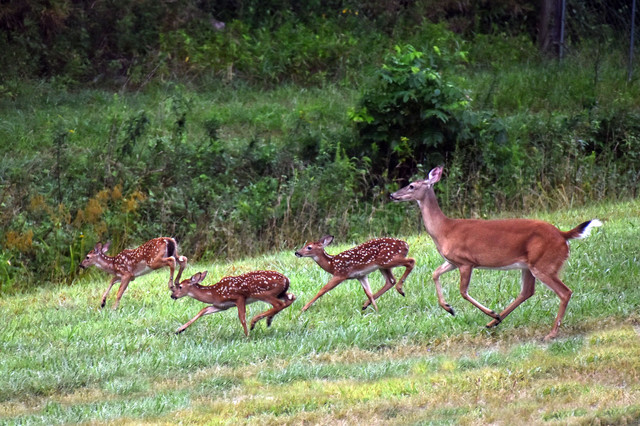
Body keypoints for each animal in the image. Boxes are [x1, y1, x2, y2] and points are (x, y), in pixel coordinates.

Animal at [390, 165, 602, 341]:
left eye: (411, 186)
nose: (392, 195)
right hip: (529, 265)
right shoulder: (452, 261)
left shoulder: (466, 261)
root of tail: (562, 234)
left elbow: (463, 291)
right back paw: (495, 322)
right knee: (527, 291)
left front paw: (485, 311)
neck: (444, 229)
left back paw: (549, 333)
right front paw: (449, 308)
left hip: (544, 263)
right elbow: (435, 274)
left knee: (565, 292)